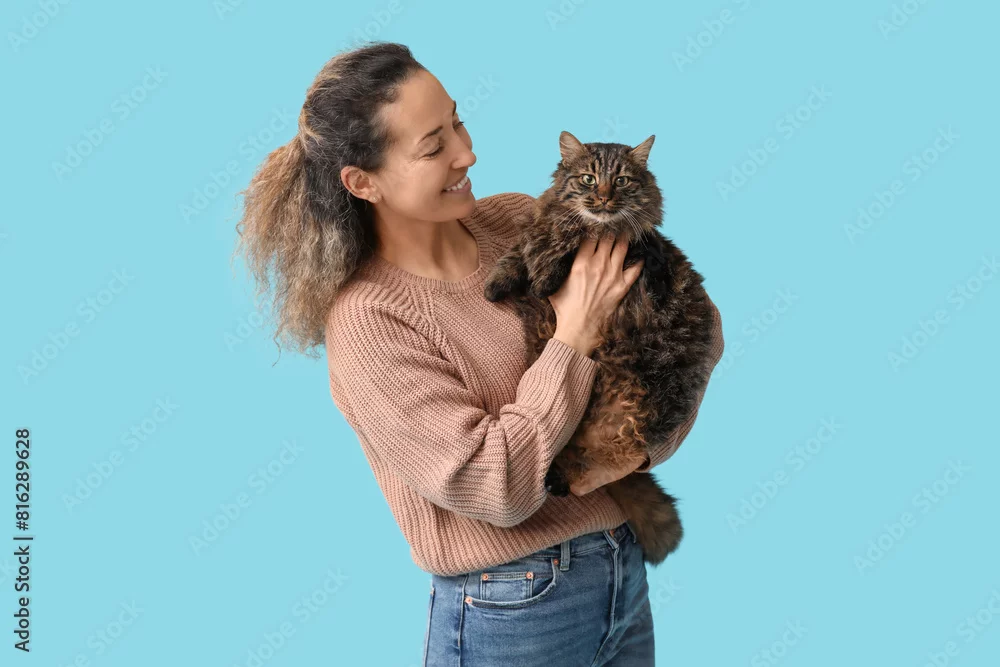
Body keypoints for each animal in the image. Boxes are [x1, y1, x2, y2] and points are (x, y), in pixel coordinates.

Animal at [483, 131, 717, 565]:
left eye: (622, 181)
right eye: (589, 179)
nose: (605, 197)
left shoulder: (635, 248)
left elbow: (555, 253)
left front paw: (546, 271)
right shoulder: (540, 222)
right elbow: (523, 245)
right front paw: (496, 282)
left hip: (637, 409)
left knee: (612, 455)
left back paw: (563, 480)